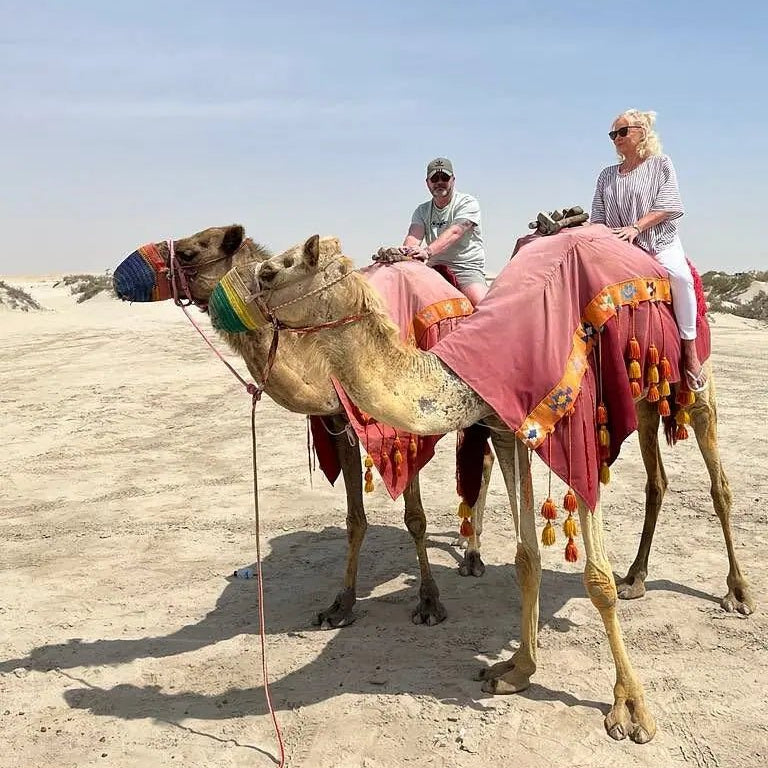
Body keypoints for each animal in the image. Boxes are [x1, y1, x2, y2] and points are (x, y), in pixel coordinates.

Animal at [113, 225, 493, 630]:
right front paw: (340, 605)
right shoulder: (339, 423)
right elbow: (354, 518)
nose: (120, 277)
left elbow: (415, 518)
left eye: (188, 253)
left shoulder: (400, 432)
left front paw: (429, 602)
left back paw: (472, 555)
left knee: (482, 462)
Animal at [207, 230, 755, 743]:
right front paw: (516, 670)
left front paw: (631, 709)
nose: (221, 303)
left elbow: (595, 579)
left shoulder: (578, 427)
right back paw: (637, 578)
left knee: (719, 483)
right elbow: (526, 558)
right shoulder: (508, 431)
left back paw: (738, 593)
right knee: (656, 480)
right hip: (641, 398)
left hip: (694, 377)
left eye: (271, 272)